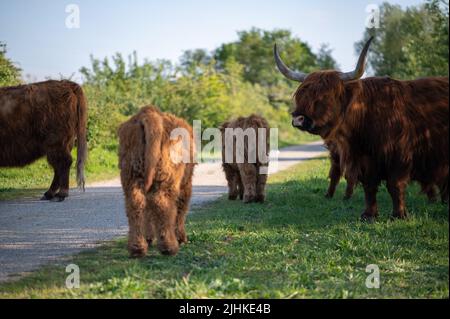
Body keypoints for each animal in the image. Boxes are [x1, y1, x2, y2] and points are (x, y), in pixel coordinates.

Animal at [118, 106, 196, 258]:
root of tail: (148, 114)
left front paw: (149, 238)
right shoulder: (185, 184)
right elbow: (181, 209)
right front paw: (181, 238)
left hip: (131, 174)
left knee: (135, 204)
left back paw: (137, 248)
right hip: (167, 178)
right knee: (162, 203)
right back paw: (169, 247)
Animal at [274, 37, 446, 221]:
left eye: (324, 96)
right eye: (301, 94)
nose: (298, 119)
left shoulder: (400, 155)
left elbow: (395, 185)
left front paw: (399, 215)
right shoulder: (361, 159)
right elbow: (368, 186)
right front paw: (369, 215)